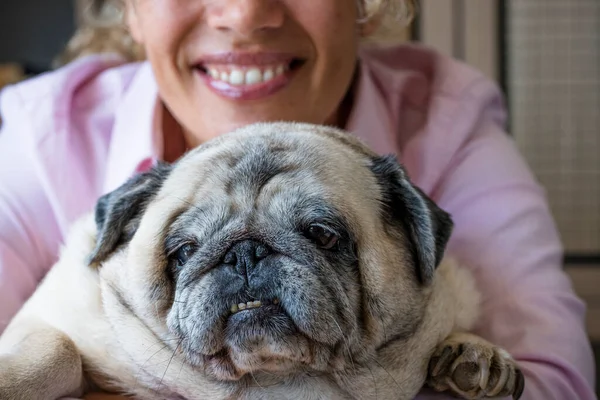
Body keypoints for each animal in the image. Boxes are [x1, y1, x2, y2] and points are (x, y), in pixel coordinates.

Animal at [0, 122, 524, 400]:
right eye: (183, 251)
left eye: (323, 235)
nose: (245, 252)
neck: (277, 379)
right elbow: (57, 349)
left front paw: (472, 353)